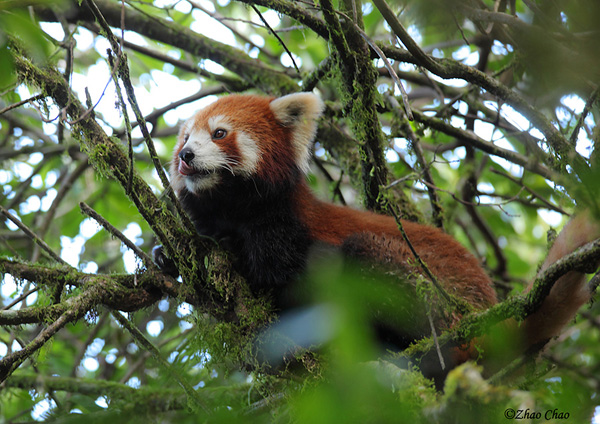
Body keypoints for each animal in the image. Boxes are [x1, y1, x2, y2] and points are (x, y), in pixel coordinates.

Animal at [161, 93, 600, 380]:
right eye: (185, 138)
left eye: (219, 133)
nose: (186, 156)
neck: (238, 213)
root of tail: (489, 316)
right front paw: (170, 258)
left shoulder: (288, 230)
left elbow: (287, 281)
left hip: (433, 294)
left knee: (367, 257)